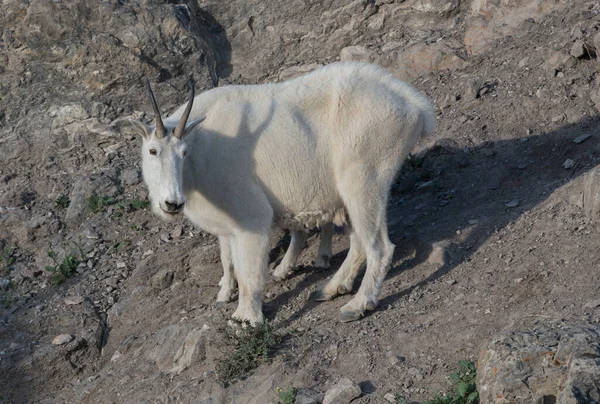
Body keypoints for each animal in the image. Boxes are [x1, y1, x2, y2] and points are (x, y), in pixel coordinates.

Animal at [129, 61, 434, 324]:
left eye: (183, 152)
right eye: (152, 151)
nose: (172, 203)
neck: (201, 149)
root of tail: (415, 105)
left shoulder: (250, 217)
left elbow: (249, 271)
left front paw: (246, 320)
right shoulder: (227, 225)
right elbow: (228, 259)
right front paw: (225, 295)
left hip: (364, 179)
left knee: (380, 246)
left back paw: (357, 305)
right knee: (359, 241)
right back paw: (329, 289)